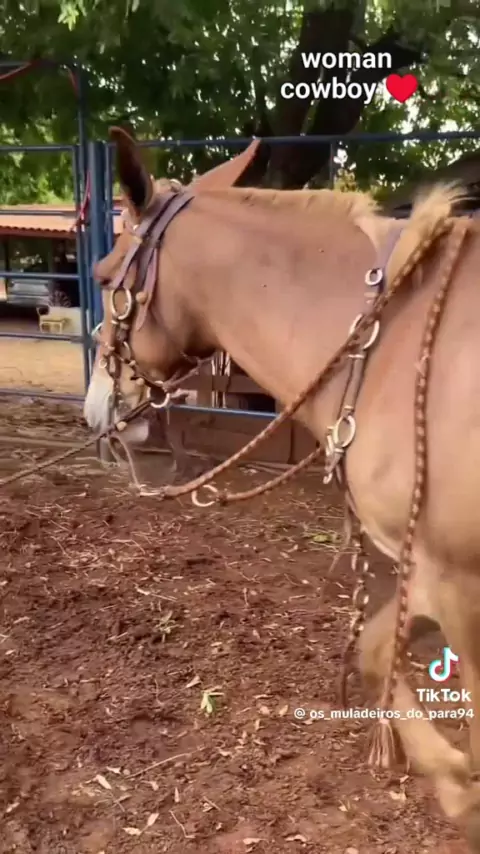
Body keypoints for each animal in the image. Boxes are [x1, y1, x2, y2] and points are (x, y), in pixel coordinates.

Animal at [84, 126, 480, 850]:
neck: (394, 347)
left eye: (103, 276)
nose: (96, 410)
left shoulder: (463, 584)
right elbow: (374, 653)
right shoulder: (430, 569)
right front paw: (454, 783)